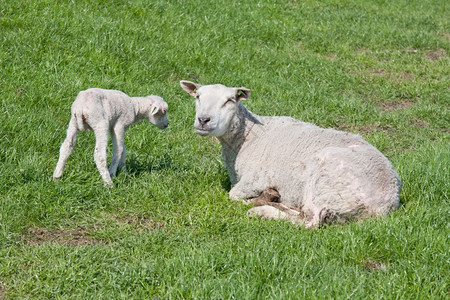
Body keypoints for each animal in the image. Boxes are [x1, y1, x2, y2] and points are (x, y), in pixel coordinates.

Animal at [179, 80, 400, 227]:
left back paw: (262, 210)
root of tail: (383, 205)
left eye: (229, 101)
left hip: (325, 181)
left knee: (310, 221)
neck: (248, 136)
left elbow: (233, 195)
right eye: (197, 97)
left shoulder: (254, 180)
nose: (203, 120)